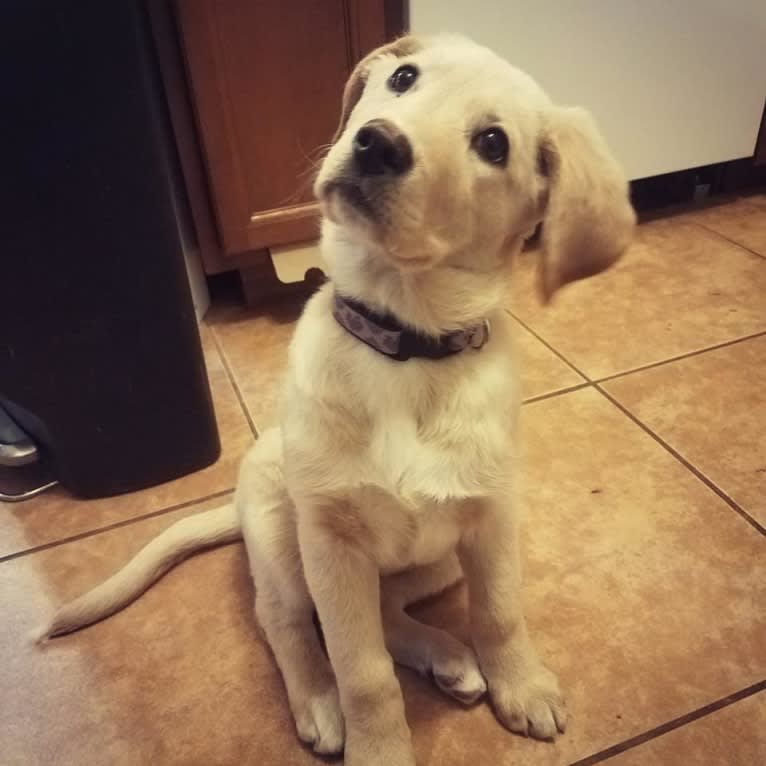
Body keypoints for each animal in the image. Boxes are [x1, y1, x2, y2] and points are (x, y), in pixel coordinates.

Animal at [42, 34, 636, 766]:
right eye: (403, 78)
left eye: (494, 144)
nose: (377, 143)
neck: (404, 345)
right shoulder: (331, 543)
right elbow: (364, 672)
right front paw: (375, 746)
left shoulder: (491, 519)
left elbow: (499, 613)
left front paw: (521, 686)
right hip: (282, 541)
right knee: (285, 620)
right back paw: (321, 700)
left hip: (436, 561)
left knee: (386, 608)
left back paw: (449, 660)